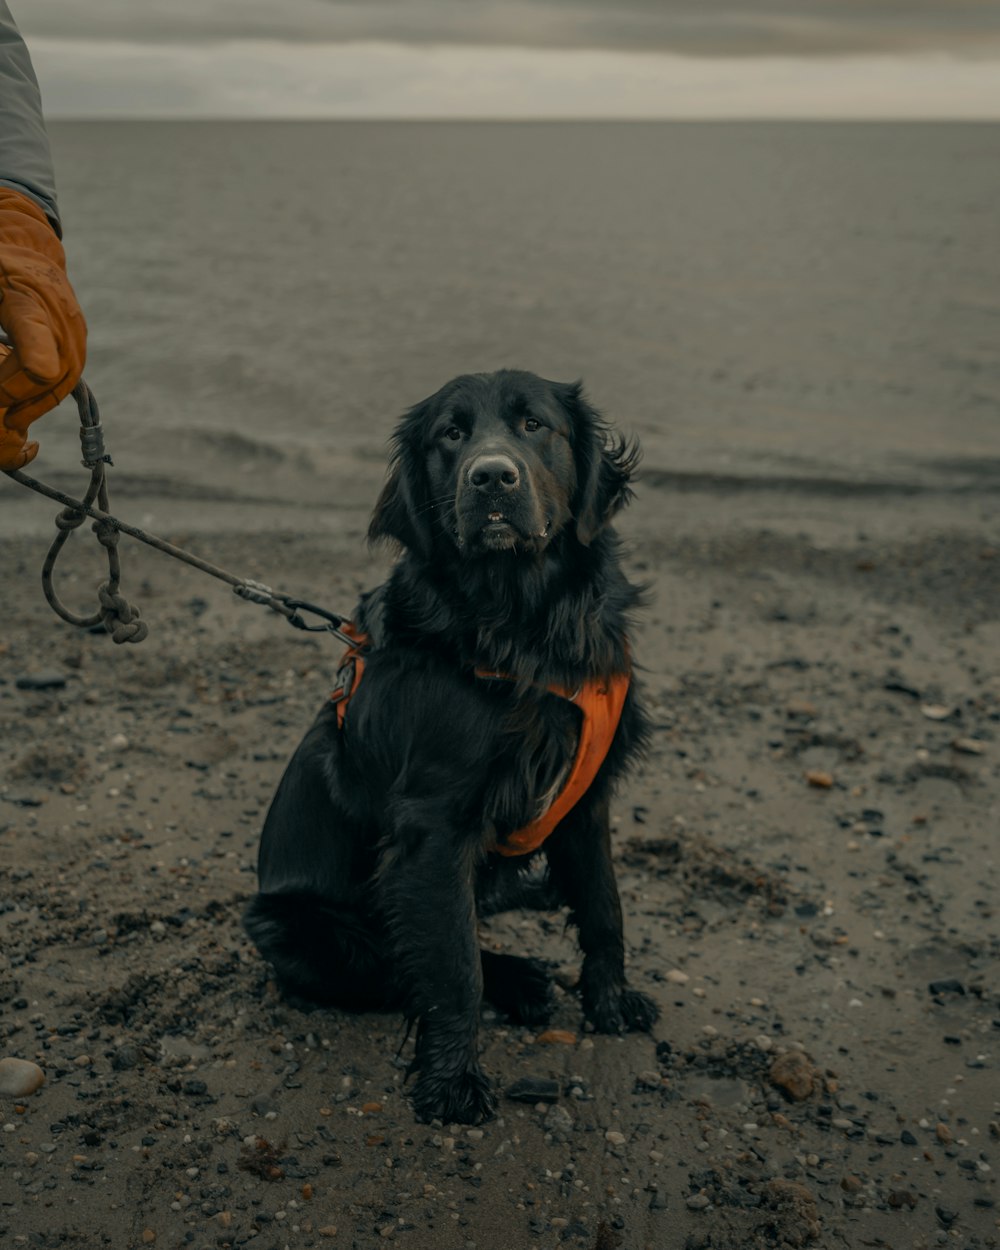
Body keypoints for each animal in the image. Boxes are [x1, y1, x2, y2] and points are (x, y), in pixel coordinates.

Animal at [243, 367, 655, 1125]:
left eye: (534, 425)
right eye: (451, 435)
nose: (491, 477)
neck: (522, 627)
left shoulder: (586, 797)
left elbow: (603, 904)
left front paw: (610, 1001)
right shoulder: (433, 828)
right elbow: (453, 965)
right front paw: (453, 1085)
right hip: (292, 926)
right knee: (398, 961)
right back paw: (519, 981)